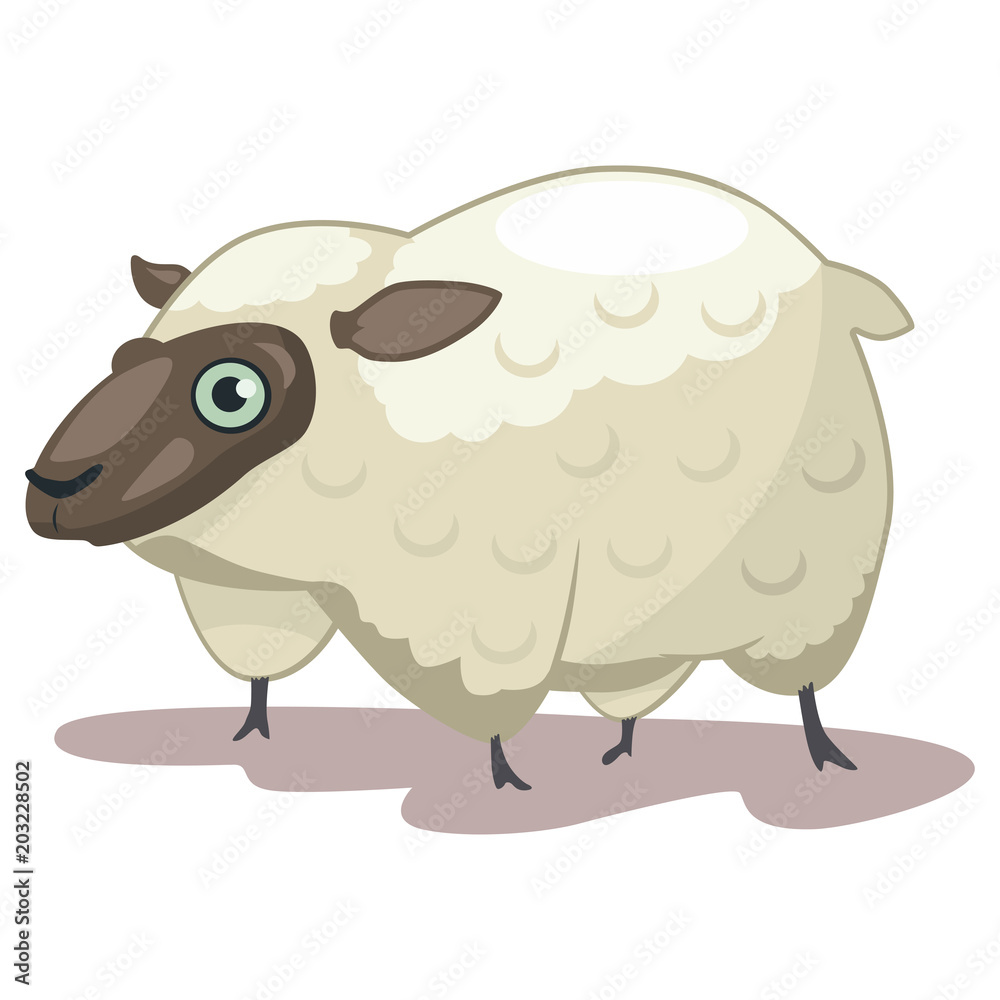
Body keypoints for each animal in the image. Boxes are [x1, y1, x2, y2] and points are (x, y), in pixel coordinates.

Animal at [25, 166, 912, 790]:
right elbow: (258, 678)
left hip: (816, 576)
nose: (51, 488)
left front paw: (500, 780)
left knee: (805, 681)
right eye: (124, 358)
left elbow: (488, 717)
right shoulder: (250, 597)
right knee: (636, 686)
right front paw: (250, 735)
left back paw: (822, 755)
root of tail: (830, 269)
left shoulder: (485, 617)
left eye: (232, 391)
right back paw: (622, 749)